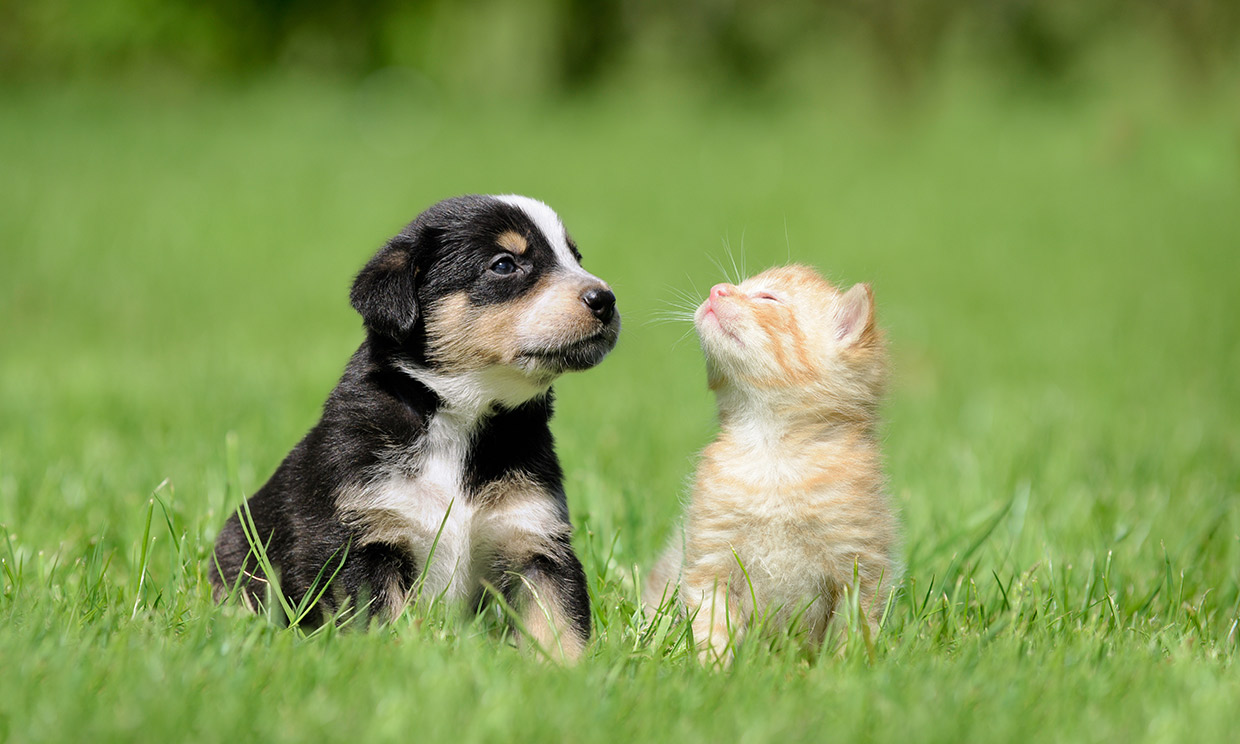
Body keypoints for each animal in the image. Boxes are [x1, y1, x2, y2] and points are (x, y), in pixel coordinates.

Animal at [213, 194, 624, 659]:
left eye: (575, 258)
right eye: (504, 264)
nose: (605, 299)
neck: (459, 420)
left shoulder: (534, 538)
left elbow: (558, 624)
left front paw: (570, 671)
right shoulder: (358, 540)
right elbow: (379, 621)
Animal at [644, 264, 897, 659]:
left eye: (768, 297)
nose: (717, 289)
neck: (771, 456)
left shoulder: (860, 570)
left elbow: (853, 635)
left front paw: (846, 669)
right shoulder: (709, 560)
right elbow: (712, 627)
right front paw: (711, 666)